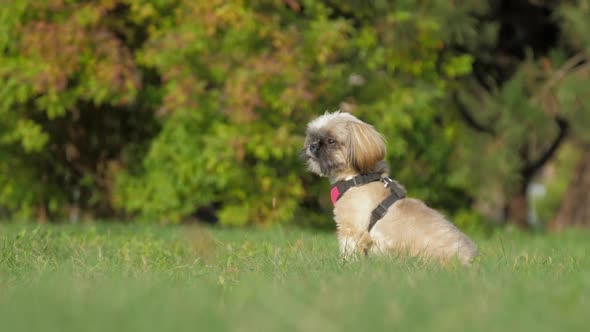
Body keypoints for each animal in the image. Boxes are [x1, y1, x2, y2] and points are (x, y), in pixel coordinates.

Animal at [302, 111, 478, 264]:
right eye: (313, 138)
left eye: (331, 141)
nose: (313, 146)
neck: (356, 178)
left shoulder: (352, 229)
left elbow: (349, 251)